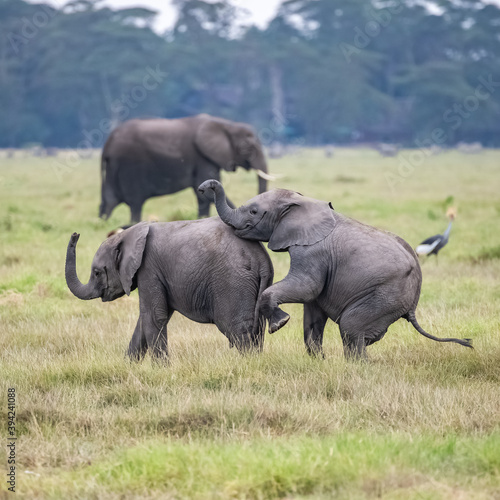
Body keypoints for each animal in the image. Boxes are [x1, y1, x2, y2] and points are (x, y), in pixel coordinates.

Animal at [64, 219, 274, 360]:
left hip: (233, 283)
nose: (75, 234)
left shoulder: (148, 270)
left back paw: (247, 364)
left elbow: (153, 316)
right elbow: (145, 321)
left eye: (97, 272)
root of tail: (262, 260)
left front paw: (161, 370)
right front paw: (128, 366)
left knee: (237, 331)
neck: (129, 234)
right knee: (257, 328)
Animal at [97, 114, 270, 224]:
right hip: (129, 165)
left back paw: (103, 222)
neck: (226, 124)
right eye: (248, 148)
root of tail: (107, 144)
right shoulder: (202, 157)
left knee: (110, 200)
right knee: (135, 202)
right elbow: (207, 192)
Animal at [199, 180, 472, 360]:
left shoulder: (312, 252)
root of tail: (414, 303)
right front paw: (317, 362)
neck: (302, 202)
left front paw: (280, 323)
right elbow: (312, 310)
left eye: (254, 211)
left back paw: (357, 367)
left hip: (386, 294)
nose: (205, 187)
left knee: (352, 327)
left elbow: (306, 288)